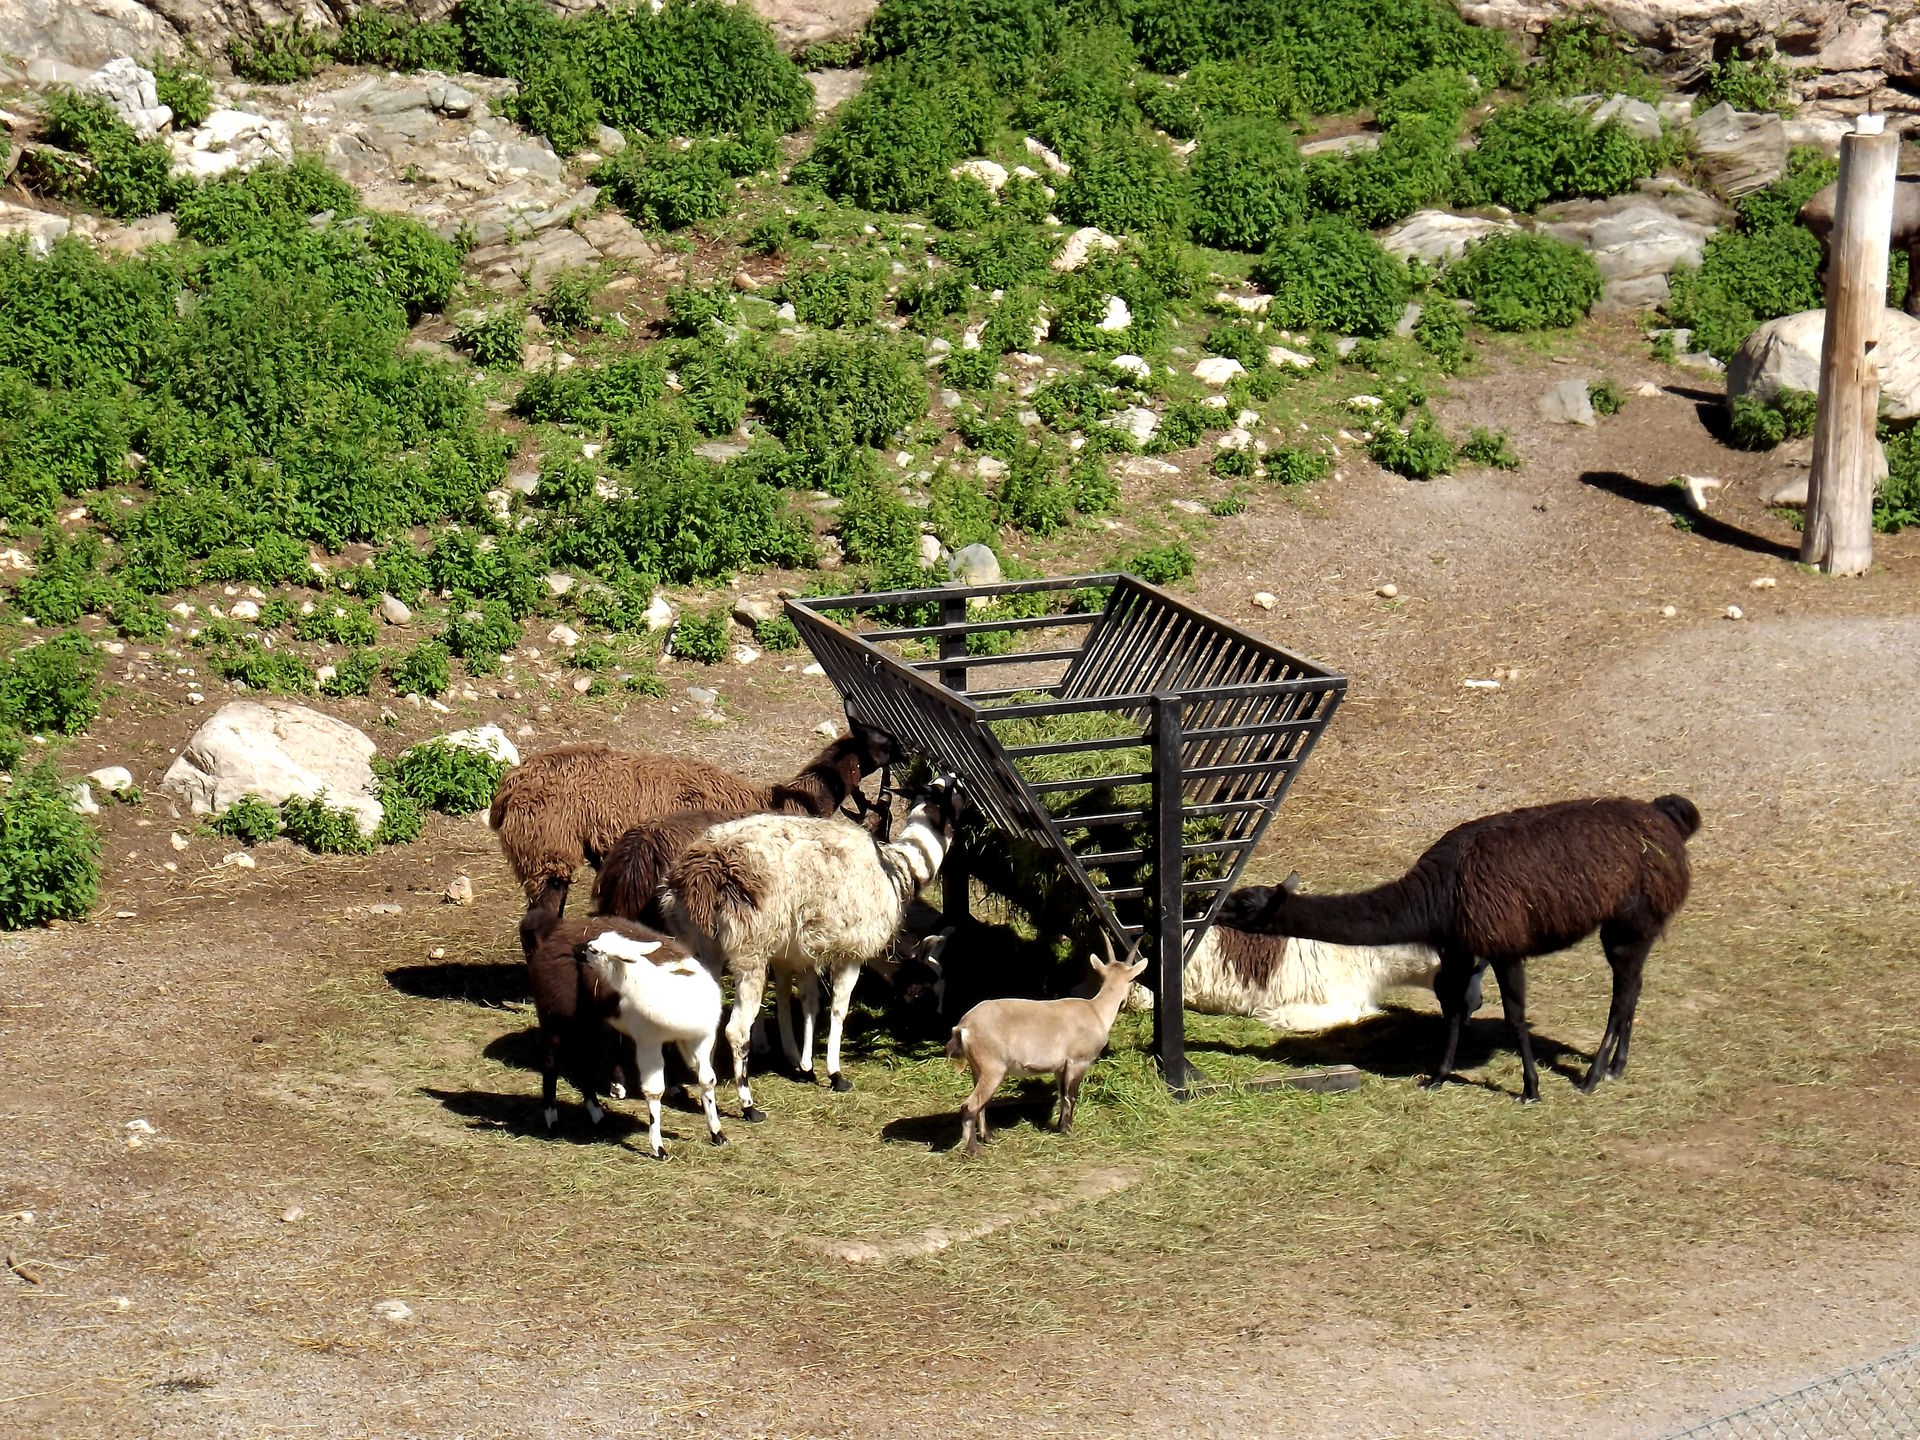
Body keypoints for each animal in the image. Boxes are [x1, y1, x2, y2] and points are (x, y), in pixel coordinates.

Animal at [579, 926, 728, 1159]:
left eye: (594, 950)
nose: (579, 952)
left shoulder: (702, 1037)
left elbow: (708, 1080)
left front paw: (718, 1134)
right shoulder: (648, 1042)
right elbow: (654, 1091)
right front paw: (658, 1148)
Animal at [656, 776, 959, 1119]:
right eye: (928, 989)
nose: (940, 1025)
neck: (896, 870)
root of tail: (699, 878)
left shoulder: (800, 952)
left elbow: (803, 1003)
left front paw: (803, 1064)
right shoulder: (849, 951)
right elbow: (838, 1008)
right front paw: (835, 1073)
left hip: (697, 945)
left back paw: (681, 1082)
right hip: (748, 951)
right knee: (736, 1030)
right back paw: (748, 1105)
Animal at [946, 936, 1147, 1156]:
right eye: (1133, 980)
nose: (1125, 1002)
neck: (1096, 1010)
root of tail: (964, 1026)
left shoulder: (1060, 1067)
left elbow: (1062, 1094)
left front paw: (1060, 1126)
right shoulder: (1079, 1061)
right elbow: (1071, 1096)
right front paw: (1069, 1130)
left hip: (977, 1068)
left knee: (980, 1104)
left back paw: (989, 1137)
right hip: (993, 1068)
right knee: (969, 1106)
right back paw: (973, 1150)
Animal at [1217, 794, 1701, 1102]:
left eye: (1244, 904)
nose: (1210, 907)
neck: (1438, 895)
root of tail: (1665, 819)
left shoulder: (1503, 943)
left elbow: (1515, 1015)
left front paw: (1530, 1089)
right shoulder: (1457, 946)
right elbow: (1453, 1009)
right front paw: (1437, 1076)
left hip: (1631, 921)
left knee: (1622, 994)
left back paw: (1594, 1076)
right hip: (1633, 926)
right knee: (1632, 989)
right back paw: (1616, 1067)